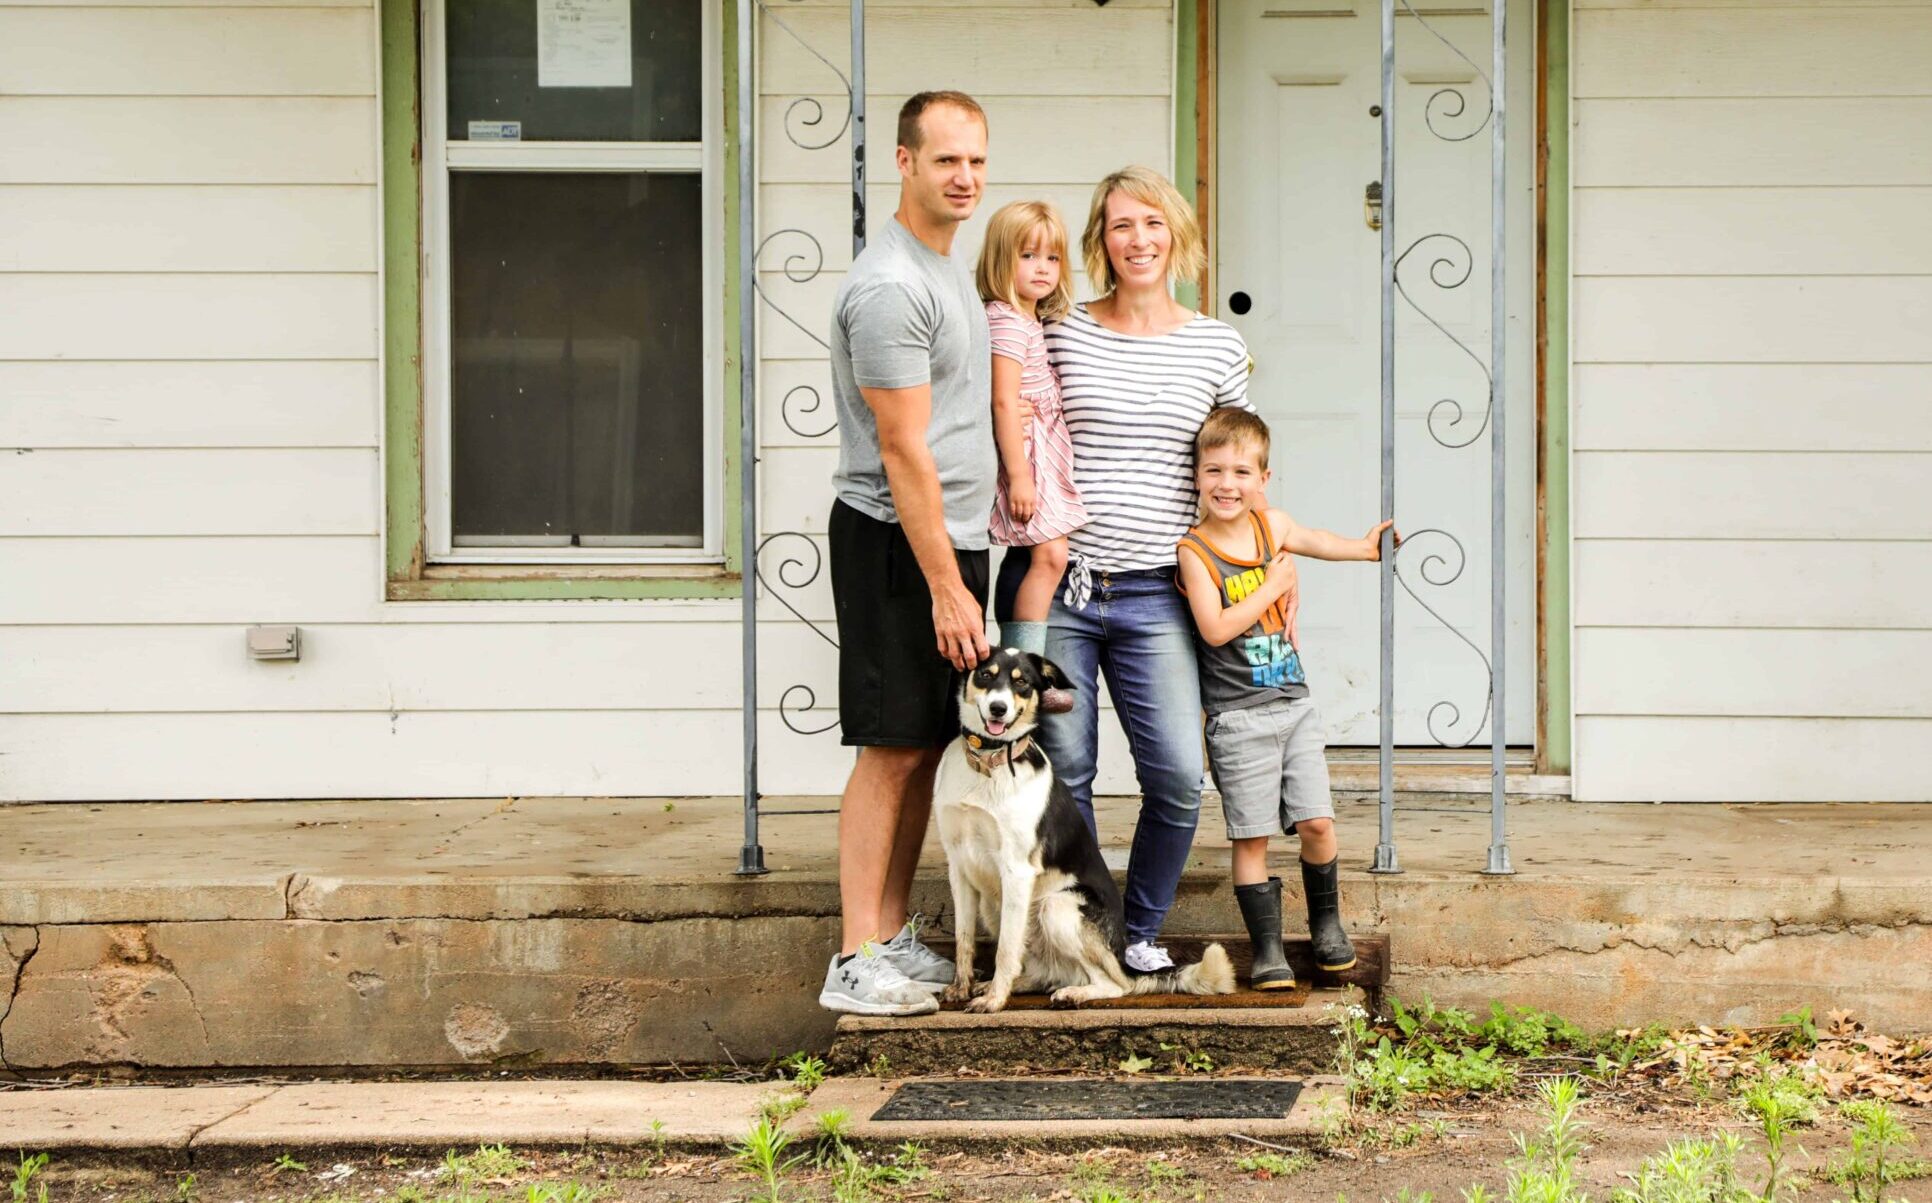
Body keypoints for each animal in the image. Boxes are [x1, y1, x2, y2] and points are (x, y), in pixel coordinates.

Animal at [935, 644, 1236, 1011]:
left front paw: (994, 1001)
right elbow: (964, 939)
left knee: (1115, 984)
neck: (988, 766)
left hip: (1056, 906)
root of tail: (1122, 955)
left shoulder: (1016, 870)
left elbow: (1005, 948)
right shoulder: (959, 866)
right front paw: (962, 987)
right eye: (985, 674)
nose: (998, 708)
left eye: (1022, 683)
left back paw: (1073, 993)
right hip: (995, 907)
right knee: (1039, 970)